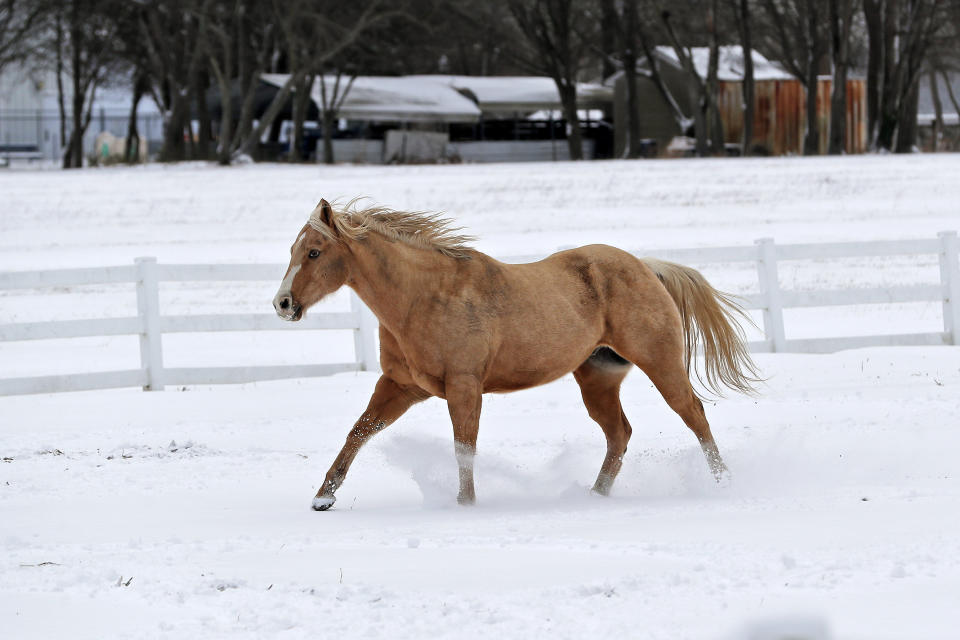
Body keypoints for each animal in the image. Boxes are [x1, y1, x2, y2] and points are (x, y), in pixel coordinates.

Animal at [274, 200, 760, 510]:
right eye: (294, 250)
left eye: (314, 252)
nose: (283, 303)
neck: (423, 297)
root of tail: (646, 266)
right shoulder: (400, 386)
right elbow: (358, 432)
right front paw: (324, 497)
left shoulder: (464, 387)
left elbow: (463, 447)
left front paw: (465, 503)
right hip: (598, 379)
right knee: (619, 434)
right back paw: (594, 496)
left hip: (660, 362)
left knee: (694, 415)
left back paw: (723, 484)